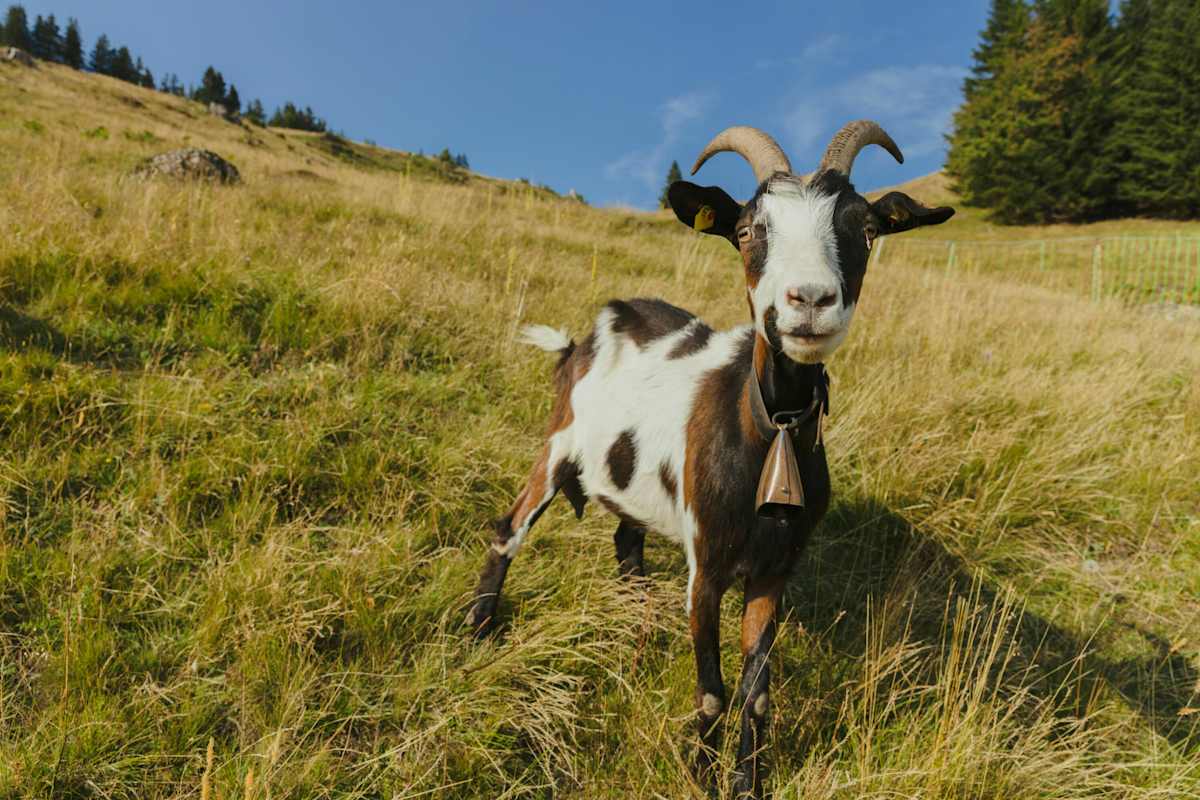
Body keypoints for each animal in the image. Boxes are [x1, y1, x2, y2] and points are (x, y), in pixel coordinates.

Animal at [466, 121, 954, 797]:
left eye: (865, 229)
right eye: (749, 230)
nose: (810, 300)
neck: (767, 434)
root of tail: (581, 339)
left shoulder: (775, 569)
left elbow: (756, 694)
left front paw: (748, 781)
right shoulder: (707, 566)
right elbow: (713, 693)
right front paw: (701, 774)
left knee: (627, 545)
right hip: (559, 444)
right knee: (510, 527)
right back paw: (480, 629)